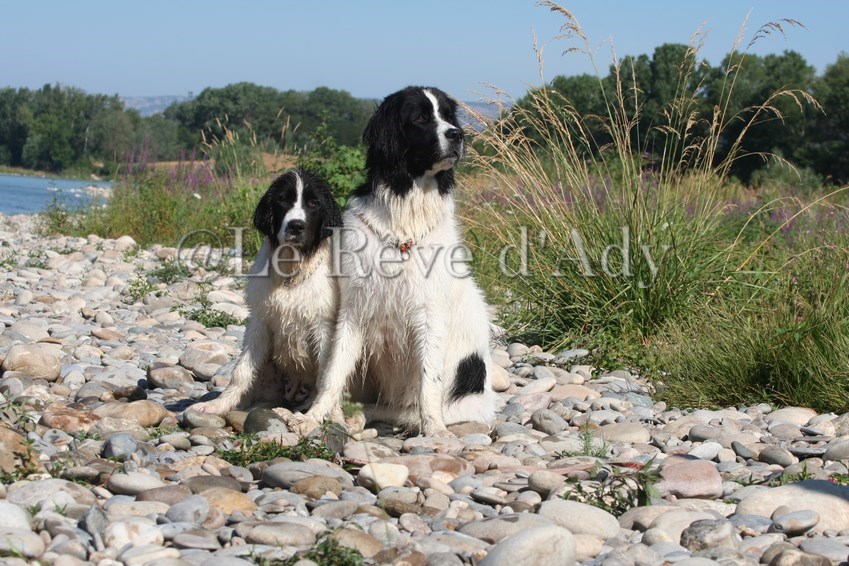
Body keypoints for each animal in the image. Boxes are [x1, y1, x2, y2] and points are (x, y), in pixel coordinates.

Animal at [193, 168, 343, 415]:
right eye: (283, 200)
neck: (290, 272)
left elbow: (326, 375)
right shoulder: (259, 320)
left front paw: (330, 415)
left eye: (313, 203)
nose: (296, 226)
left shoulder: (323, 325)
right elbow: (241, 371)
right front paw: (220, 403)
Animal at [290, 86, 495, 436]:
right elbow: (333, 372)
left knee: (407, 410)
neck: (405, 216)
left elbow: (429, 381)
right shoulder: (354, 309)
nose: (458, 135)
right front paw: (313, 417)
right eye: (421, 118)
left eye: (449, 117)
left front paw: (435, 431)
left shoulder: (429, 314)